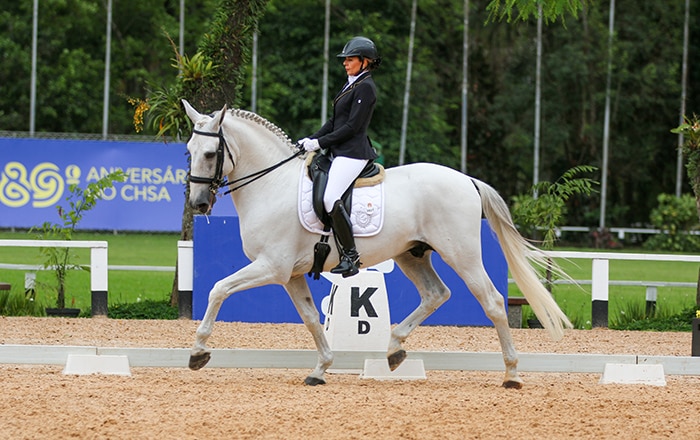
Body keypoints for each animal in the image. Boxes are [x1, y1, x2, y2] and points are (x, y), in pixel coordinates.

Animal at [183, 100, 572, 388]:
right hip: (411, 255)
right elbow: (310, 317)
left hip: (462, 254)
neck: (272, 185)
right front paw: (321, 369)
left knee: (491, 301)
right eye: (188, 150)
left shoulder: (271, 267)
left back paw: (512, 374)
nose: (198, 203)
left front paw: (198, 352)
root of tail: (467, 180)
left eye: (210, 153)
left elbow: (218, 289)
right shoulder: (290, 275)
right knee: (436, 294)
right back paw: (394, 350)